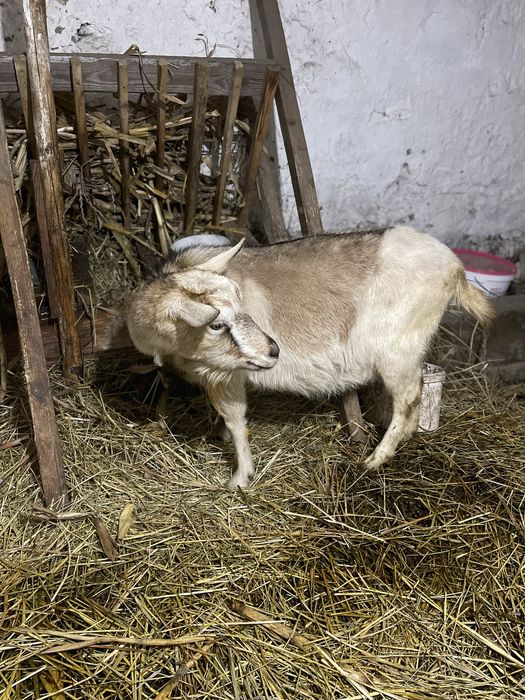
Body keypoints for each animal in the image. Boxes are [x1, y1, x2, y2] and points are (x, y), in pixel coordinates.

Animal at [127, 226, 493, 489]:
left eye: (240, 303)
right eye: (216, 323)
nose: (274, 350)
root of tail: (455, 269)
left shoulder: (228, 374)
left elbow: (235, 418)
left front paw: (239, 479)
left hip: (397, 349)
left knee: (407, 397)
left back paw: (376, 458)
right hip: (411, 348)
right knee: (415, 393)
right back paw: (405, 437)